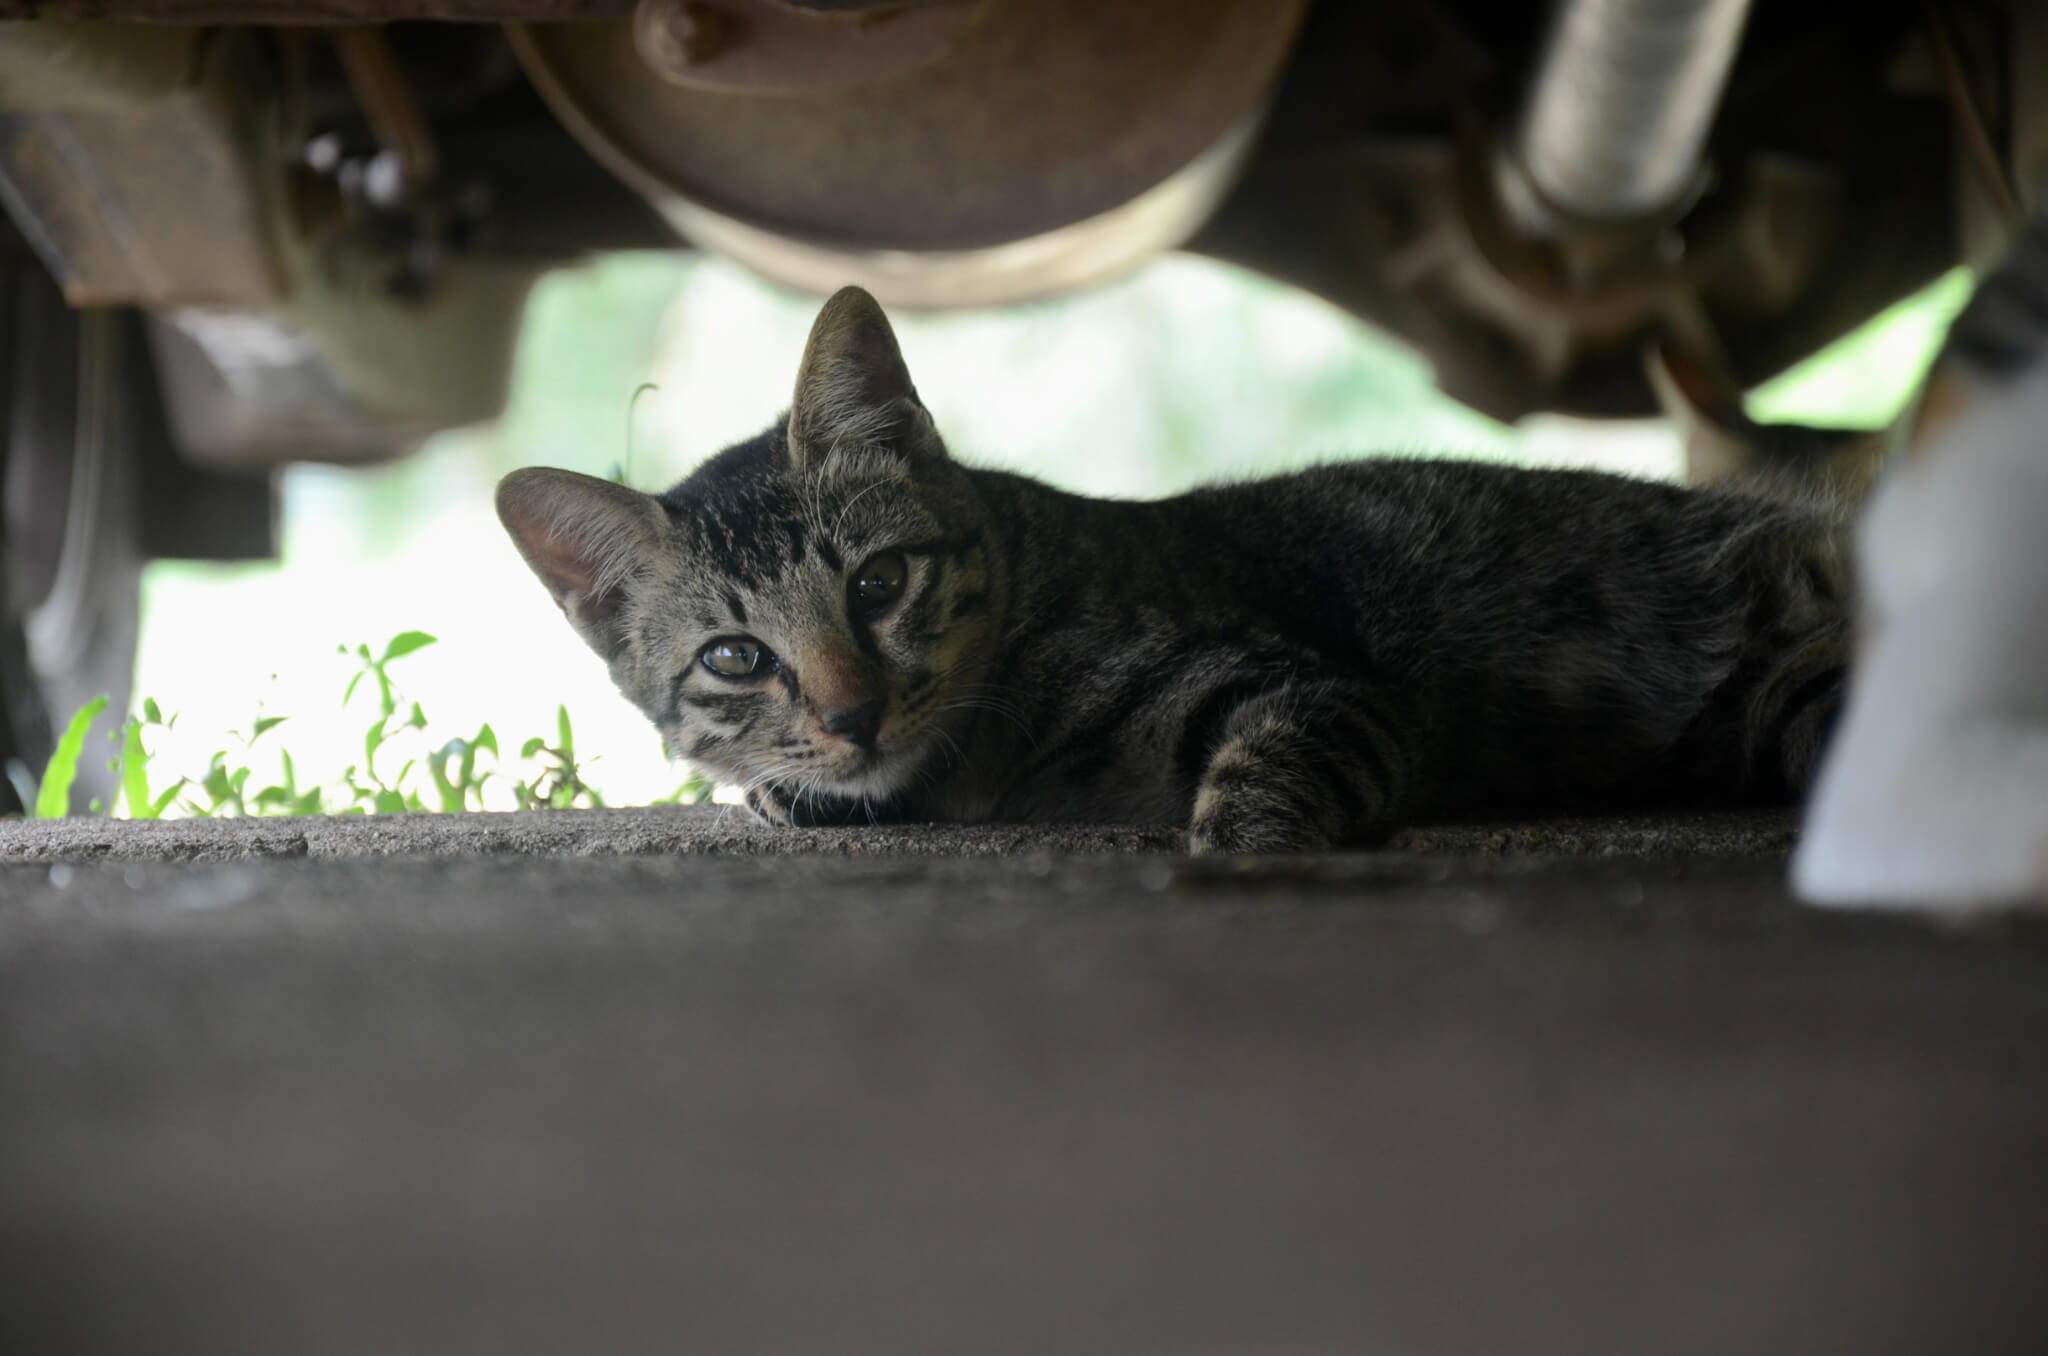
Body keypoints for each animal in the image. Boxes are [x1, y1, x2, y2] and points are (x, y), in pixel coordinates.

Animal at [499, 290, 1859, 856]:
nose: (851, 712)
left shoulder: (1306, 688)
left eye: (877, 585)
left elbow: (1257, 787)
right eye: (734, 658)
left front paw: (1234, 854)